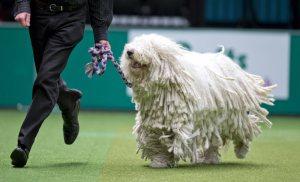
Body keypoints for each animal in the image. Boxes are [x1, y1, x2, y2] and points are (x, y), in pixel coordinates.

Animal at [120, 33, 276, 168]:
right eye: (134, 43)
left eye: (148, 46)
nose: (129, 52)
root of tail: (228, 61)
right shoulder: (154, 122)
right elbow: (156, 141)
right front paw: (160, 162)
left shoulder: (181, 119)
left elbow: (178, 139)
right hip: (214, 120)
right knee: (214, 140)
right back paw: (209, 159)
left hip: (234, 115)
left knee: (245, 128)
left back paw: (241, 150)